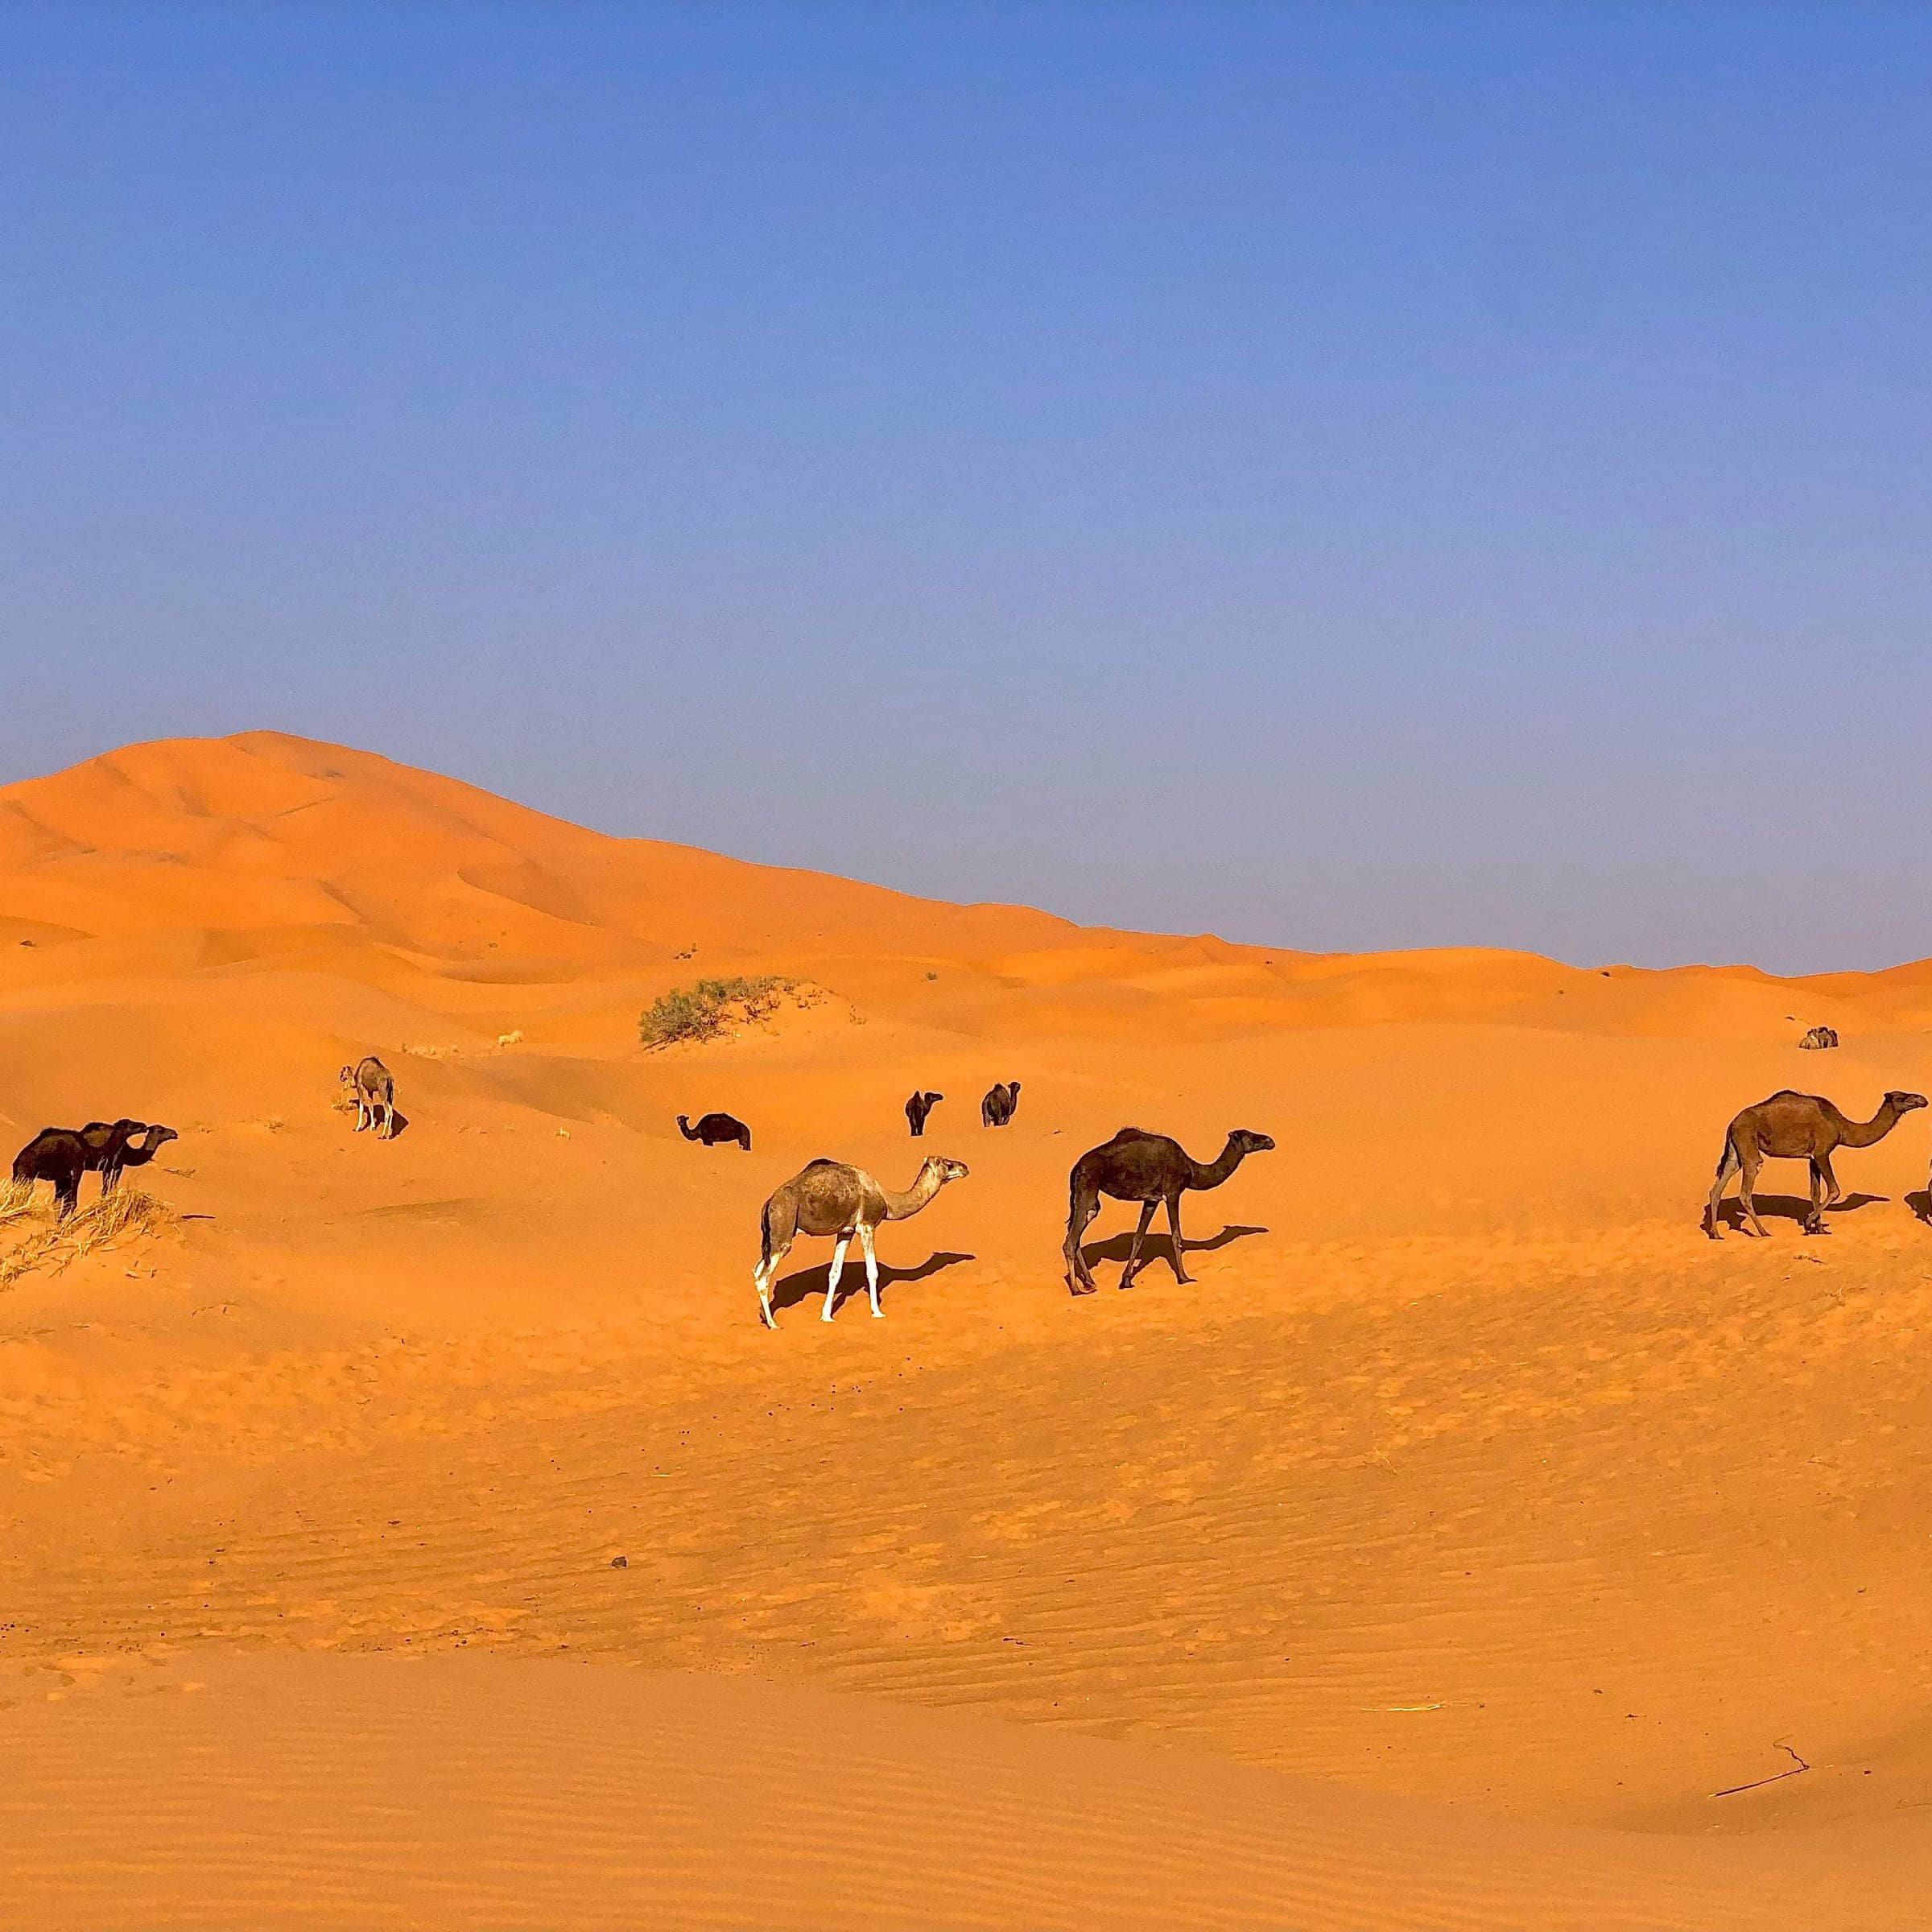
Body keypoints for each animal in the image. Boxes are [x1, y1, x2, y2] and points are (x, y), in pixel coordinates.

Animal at [753, 1154, 969, 1328]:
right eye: (948, 1164)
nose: (965, 1167)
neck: (887, 1199)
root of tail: (769, 1203)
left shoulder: (846, 1232)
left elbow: (835, 1273)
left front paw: (826, 1316)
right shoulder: (867, 1226)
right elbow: (872, 1272)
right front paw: (877, 1312)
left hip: (771, 1239)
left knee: (757, 1270)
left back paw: (764, 1316)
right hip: (783, 1232)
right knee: (763, 1277)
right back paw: (773, 1324)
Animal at [1064, 1126, 1275, 1295]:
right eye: (1252, 1137)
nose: (1270, 1141)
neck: (1191, 1169)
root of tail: (1075, 1168)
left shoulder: (1151, 1199)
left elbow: (1138, 1238)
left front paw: (1126, 1281)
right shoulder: (1173, 1193)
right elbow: (1176, 1237)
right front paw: (1184, 1278)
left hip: (1079, 1194)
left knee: (1075, 1234)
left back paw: (1090, 1282)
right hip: (1088, 1187)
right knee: (1072, 1239)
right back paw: (1077, 1290)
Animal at [1704, 1088, 1926, 1238]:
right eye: (1901, 1097)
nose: (1922, 1099)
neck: (1842, 1127)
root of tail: (1732, 1123)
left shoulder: (1811, 1158)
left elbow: (1815, 1192)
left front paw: (1819, 1229)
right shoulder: (1822, 1152)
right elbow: (1835, 1189)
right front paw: (1808, 1222)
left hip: (1736, 1151)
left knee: (1717, 1188)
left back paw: (1716, 1233)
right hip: (1749, 1146)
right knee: (1746, 1190)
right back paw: (1763, 1232)